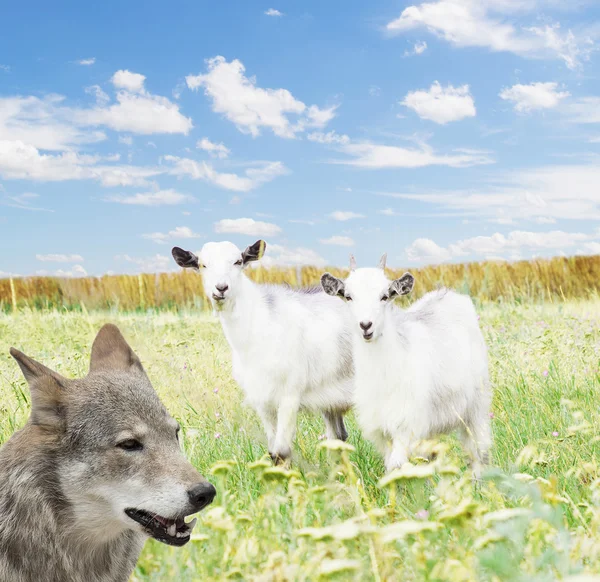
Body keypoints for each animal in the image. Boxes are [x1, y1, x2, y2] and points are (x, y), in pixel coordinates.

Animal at [171, 241, 354, 466]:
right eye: (202, 265)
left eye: (238, 261)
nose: (221, 288)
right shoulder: (262, 400)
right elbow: (273, 452)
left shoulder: (289, 394)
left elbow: (282, 452)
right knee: (338, 437)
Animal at [322, 256, 490, 480]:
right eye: (348, 297)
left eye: (385, 296)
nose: (366, 325)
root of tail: (448, 294)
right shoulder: (381, 430)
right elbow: (391, 468)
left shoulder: (406, 425)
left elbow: (397, 466)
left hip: (476, 406)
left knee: (479, 450)